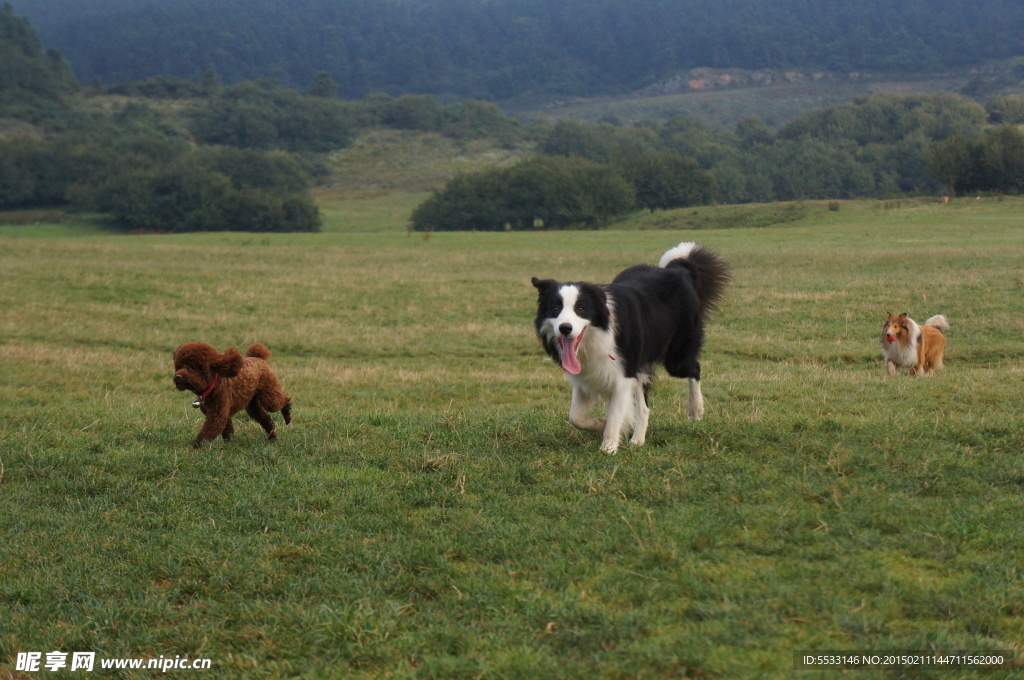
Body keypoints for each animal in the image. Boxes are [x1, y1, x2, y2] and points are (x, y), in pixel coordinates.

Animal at [536, 241, 729, 454]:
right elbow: (576, 417)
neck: (598, 336)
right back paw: (637, 440)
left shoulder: (623, 376)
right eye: (555, 308)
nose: (565, 328)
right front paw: (600, 425)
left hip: (676, 356)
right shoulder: (586, 377)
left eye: (581, 309)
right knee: (644, 408)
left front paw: (608, 447)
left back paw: (696, 410)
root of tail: (679, 269)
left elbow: (614, 414)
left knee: (694, 368)